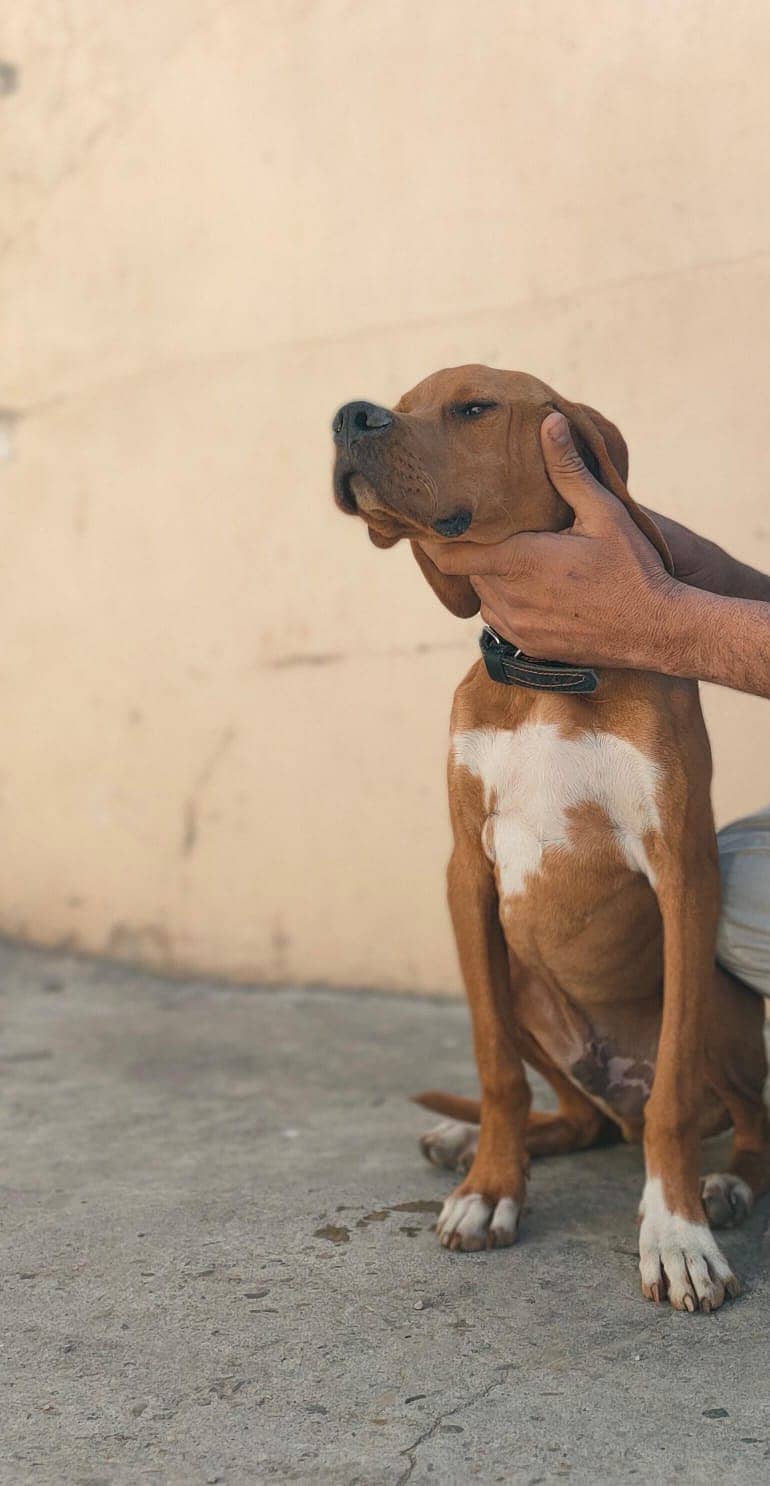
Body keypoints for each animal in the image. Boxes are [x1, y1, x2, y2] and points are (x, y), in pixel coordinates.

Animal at [331, 362, 770, 1313]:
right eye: (402, 402)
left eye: (473, 407)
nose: (348, 416)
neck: (544, 673)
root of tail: (616, 1094)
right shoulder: (466, 874)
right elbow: (494, 1066)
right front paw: (492, 1189)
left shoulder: (686, 875)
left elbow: (676, 1097)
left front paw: (677, 1234)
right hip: (524, 986)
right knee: (574, 1118)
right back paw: (481, 1144)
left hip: (721, 1008)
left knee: (734, 1117)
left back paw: (724, 1184)